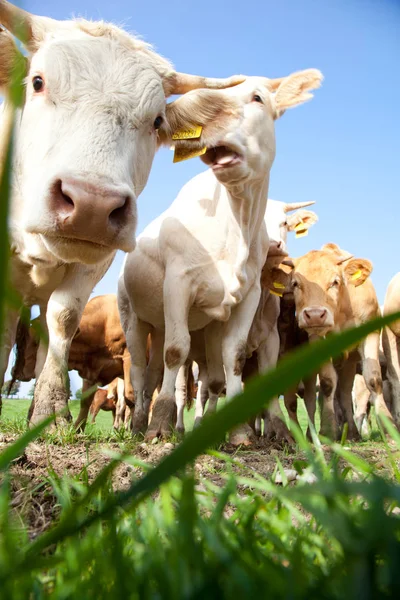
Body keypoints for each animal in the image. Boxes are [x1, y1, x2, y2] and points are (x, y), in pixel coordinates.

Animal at [0, 0, 244, 424]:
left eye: (158, 121)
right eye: (38, 82)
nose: (92, 204)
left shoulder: (98, 260)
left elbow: (64, 317)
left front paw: (50, 408)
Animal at [118, 69, 322, 446]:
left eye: (257, 98)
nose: (275, 245)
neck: (233, 229)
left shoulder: (246, 297)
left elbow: (234, 360)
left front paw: (240, 430)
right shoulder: (178, 284)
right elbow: (177, 351)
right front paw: (161, 424)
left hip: (160, 321)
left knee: (154, 371)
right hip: (133, 317)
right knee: (140, 371)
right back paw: (139, 423)